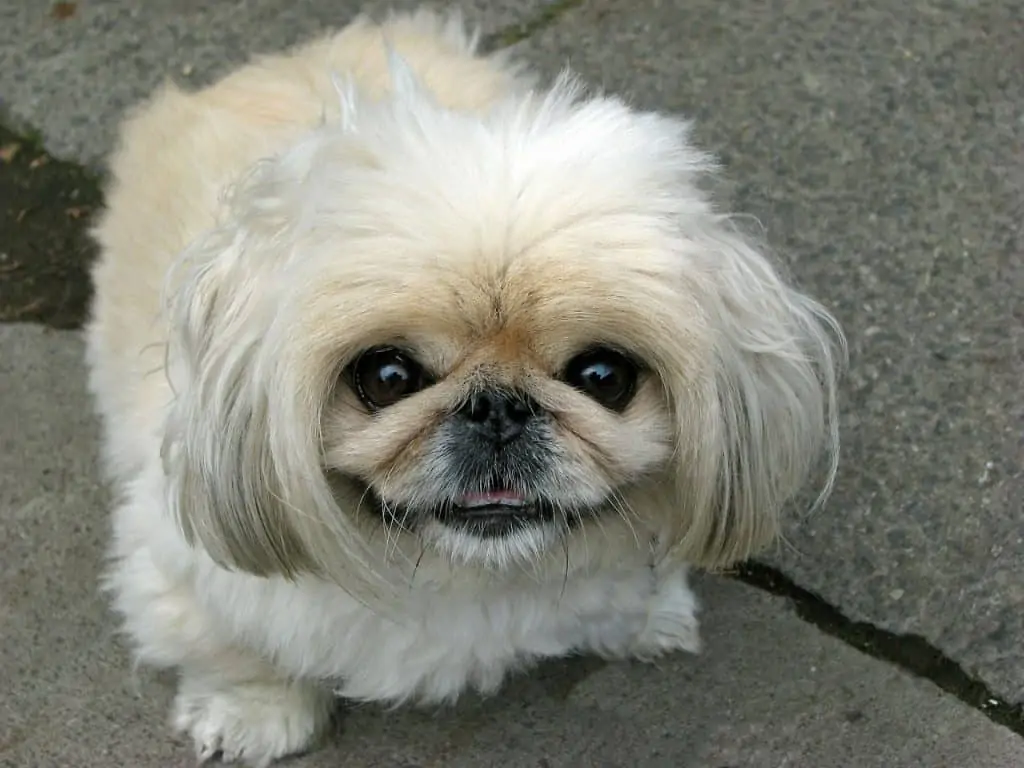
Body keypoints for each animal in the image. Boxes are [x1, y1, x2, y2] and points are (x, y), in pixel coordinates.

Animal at [86, 7, 839, 768]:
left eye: (603, 376)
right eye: (387, 377)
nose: (497, 408)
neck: (469, 571)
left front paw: (648, 613)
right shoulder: (179, 562)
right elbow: (230, 645)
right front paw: (256, 710)